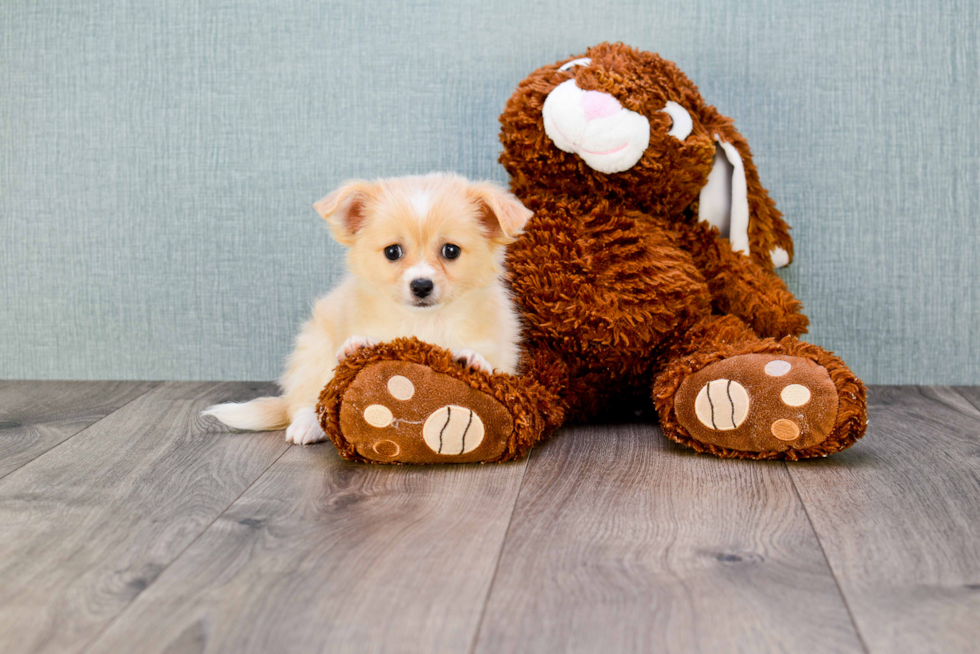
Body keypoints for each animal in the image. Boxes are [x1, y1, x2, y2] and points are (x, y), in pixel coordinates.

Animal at [202, 173, 532, 446]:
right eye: (392, 252)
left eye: (451, 251)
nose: (421, 285)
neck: (423, 320)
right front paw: (356, 347)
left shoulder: (501, 348)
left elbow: (492, 364)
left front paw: (474, 361)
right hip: (313, 351)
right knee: (306, 400)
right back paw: (308, 425)